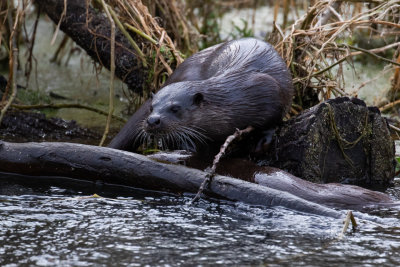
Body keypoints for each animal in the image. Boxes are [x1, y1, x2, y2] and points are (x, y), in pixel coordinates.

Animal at [109, 38, 294, 153]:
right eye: (151, 108)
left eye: (175, 108)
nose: (153, 120)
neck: (235, 98)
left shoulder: (268, 89)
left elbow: (273, 120)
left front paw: (262, 139)